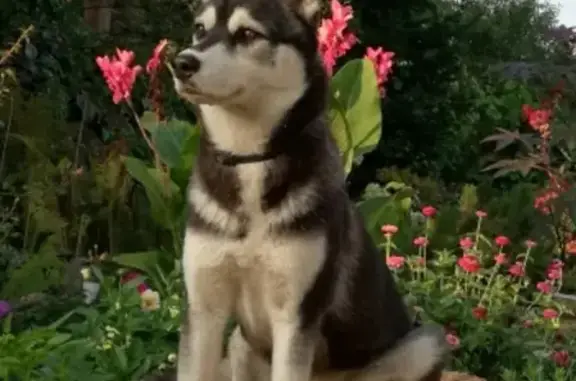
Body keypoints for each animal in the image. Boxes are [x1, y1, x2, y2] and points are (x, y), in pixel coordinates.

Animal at [169, 0, 448, 380]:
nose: (181, 62)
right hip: (239, 344)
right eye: (200, 29)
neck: (250, 157)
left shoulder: (295, 318)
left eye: (247, 34)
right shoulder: (203, 310)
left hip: (427, 342)